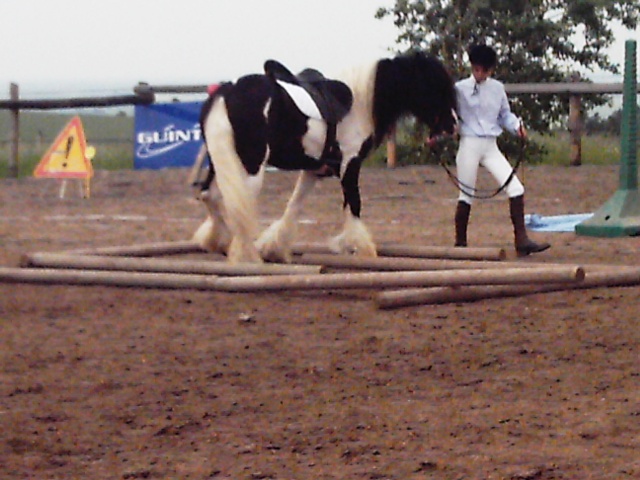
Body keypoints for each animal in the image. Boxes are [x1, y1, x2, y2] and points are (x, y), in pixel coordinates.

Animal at [192, 49, 458, 262]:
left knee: (209, 196)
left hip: (222, 163)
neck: (361, 103)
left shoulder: (313, 171)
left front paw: (274, 247)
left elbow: (294, 206)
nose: (453, 125)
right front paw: (361, 248)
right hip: (251, 167)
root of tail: (227, 91)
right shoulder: (350, 165)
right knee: (236, 204)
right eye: (433, 86)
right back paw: (243, 253)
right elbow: (353, 205)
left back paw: (220, 241)